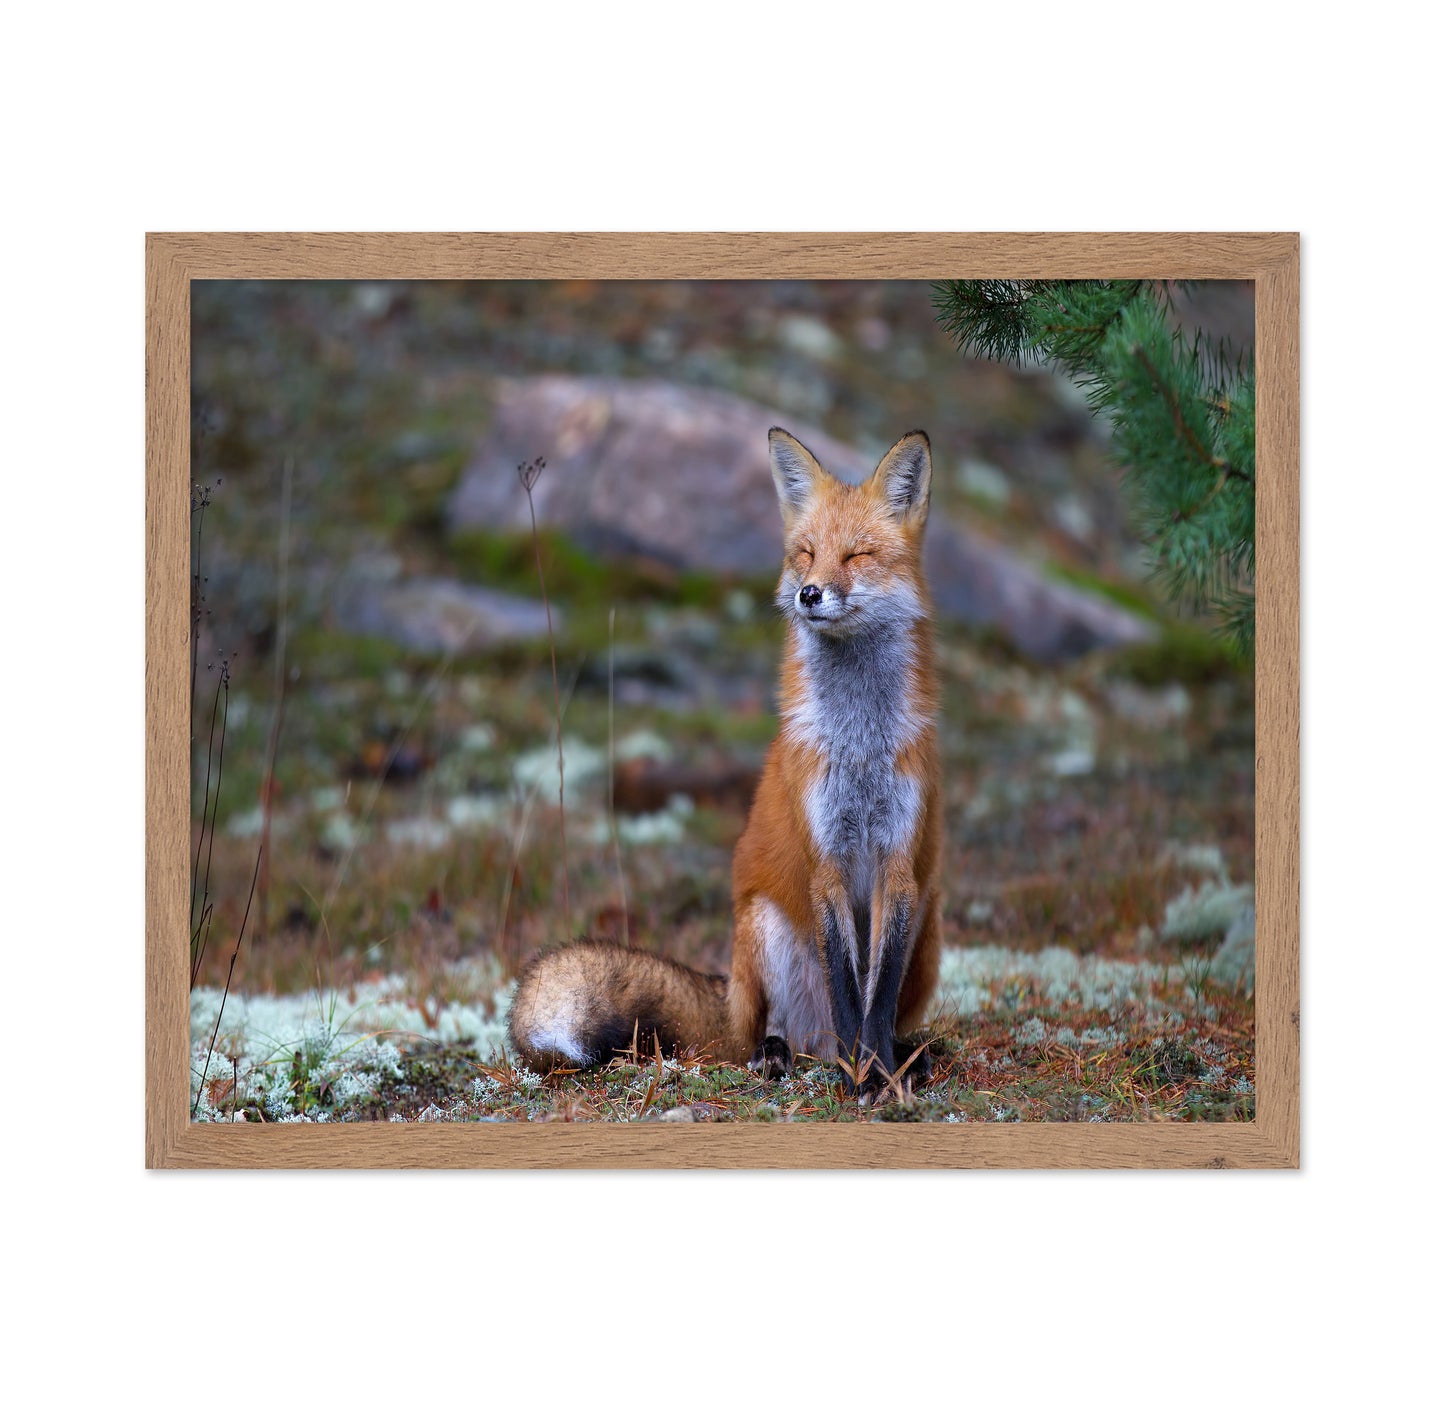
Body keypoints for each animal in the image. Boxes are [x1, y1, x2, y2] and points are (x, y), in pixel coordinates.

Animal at [509, 427, 942, 1097]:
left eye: (856, 556)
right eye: (806, 554)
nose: (809, 593)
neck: (858, 744)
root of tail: (730, 993)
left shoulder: (898, 863)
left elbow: (876, 994)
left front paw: (878, 1073)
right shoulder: (826, 860)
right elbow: (849, 993)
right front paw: (858, 1076)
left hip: (928, 916)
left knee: (883, 1017)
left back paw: (905, 1055)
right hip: (763, 929)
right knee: (770, 1034)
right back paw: (782, 1054)